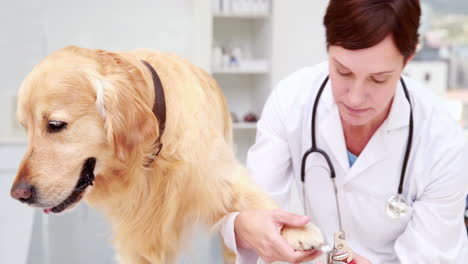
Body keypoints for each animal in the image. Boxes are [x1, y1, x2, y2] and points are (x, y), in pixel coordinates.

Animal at [11, 46, 326, 262]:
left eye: (55, 125)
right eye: (25, 128)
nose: (18, 194)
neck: (151, 154)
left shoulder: (217, 175)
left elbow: (257, 198)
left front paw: (298, 230)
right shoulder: (138, 236)